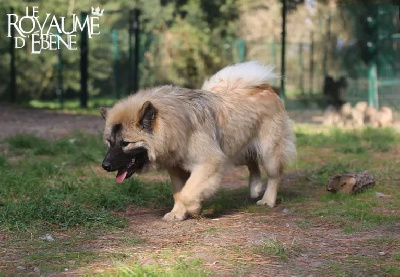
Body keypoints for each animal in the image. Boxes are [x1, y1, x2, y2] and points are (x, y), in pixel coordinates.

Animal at [100, 61, 296, 220]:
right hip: (237, 148)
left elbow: (187, 192)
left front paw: (193, 208)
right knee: (252, 163)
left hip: (269, 152)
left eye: (125, 143)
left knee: (274, 175)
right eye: (110, 142)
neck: (175, 124)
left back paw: (268, 199)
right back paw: (255, 187)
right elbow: (179, 193)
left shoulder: (209, 163)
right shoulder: (176, 169)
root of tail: (266, 87)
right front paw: (178, 213)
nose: (105, 166)